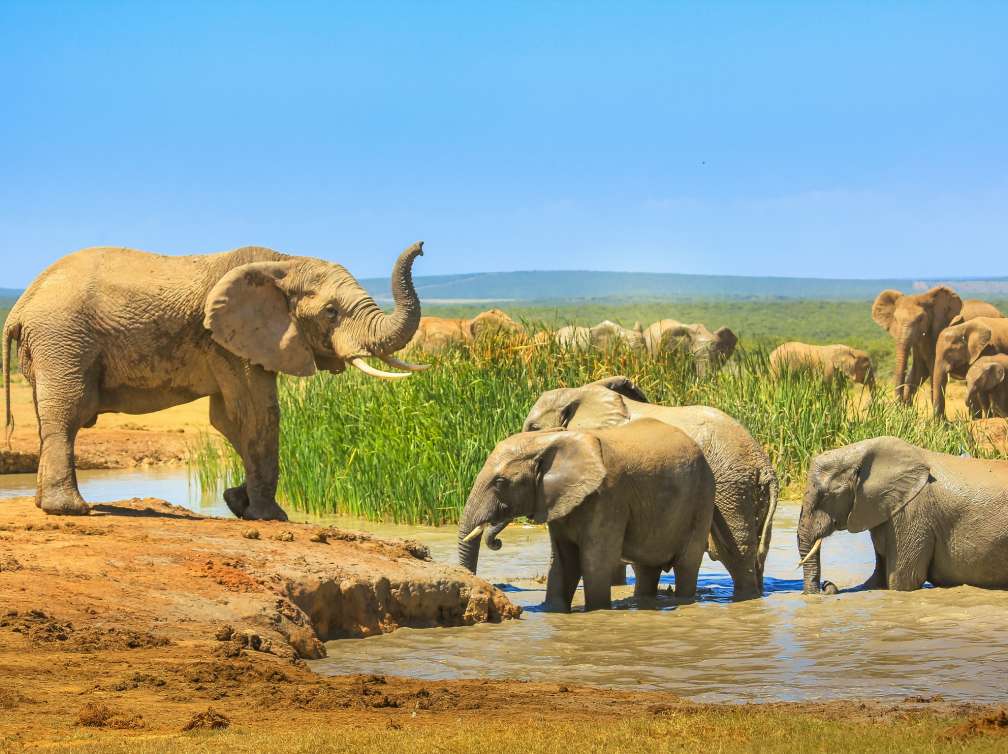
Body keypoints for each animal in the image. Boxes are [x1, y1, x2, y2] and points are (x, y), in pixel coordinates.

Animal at [2, 242, 427, 520]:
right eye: (331, 312)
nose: (421, 247)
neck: (284, 262)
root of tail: (21, 306)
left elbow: (229, 419)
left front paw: (237, 502)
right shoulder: (227, 340)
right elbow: (256, 414)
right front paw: (270, 516)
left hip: (50, 346)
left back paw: (46, 504)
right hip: (63, 339)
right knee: (68, 414)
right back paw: (70, 510)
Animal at [457, 419, 715, 611]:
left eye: (500, 482)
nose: (497, 541)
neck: (550, 440)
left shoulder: (608, 496)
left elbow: (594, 561)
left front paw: (597, 610)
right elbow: (563, 562)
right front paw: (553, 611)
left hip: (701, 500)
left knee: (686, 564)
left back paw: (682, 601)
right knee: (646, 569)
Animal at [518, 377, 778, 600]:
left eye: (533, 428)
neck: (579, 393)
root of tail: (764, 466)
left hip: (730, 488)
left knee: (734, 551)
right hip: (749, 492)